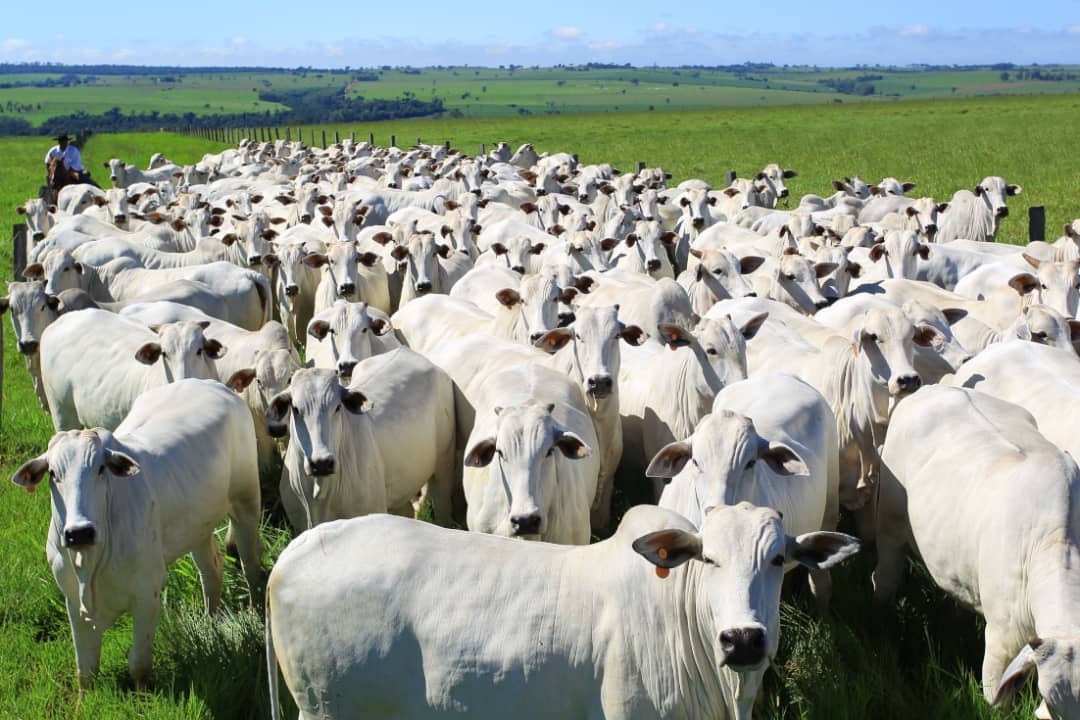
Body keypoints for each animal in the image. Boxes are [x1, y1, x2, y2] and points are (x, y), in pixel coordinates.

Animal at [13, 377, 261, 686]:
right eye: (52, 473)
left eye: (100, 469)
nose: (79, 532)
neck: (92, 560)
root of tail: (212, 383)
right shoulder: (72, 598)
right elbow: (86, 669)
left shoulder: (147, 591)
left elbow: (138, 664)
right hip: (197, 527)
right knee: (211, 571)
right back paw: (210, 622)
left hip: (245, 503)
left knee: (251, 566)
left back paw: (256, 612)